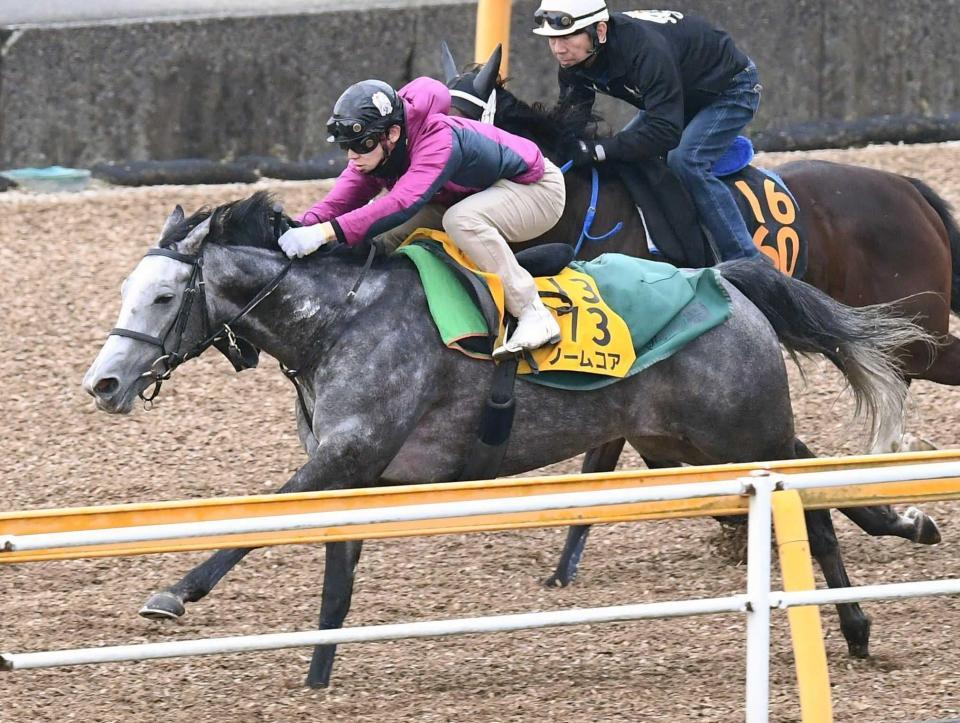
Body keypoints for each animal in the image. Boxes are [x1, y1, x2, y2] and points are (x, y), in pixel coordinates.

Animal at [82, 191, 940, 687]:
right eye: (127, 291)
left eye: (164, 295)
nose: (105, 383)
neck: (338, 320)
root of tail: (726, 277)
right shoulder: (353, 465)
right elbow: (337, 570)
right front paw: (319, 672)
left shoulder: (343, 454)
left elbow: (258, 524)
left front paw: (173, 592)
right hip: (692, 439)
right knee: (806, 479)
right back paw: (887, 561)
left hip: (735, 428)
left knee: (806, 492)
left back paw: (865, 609)